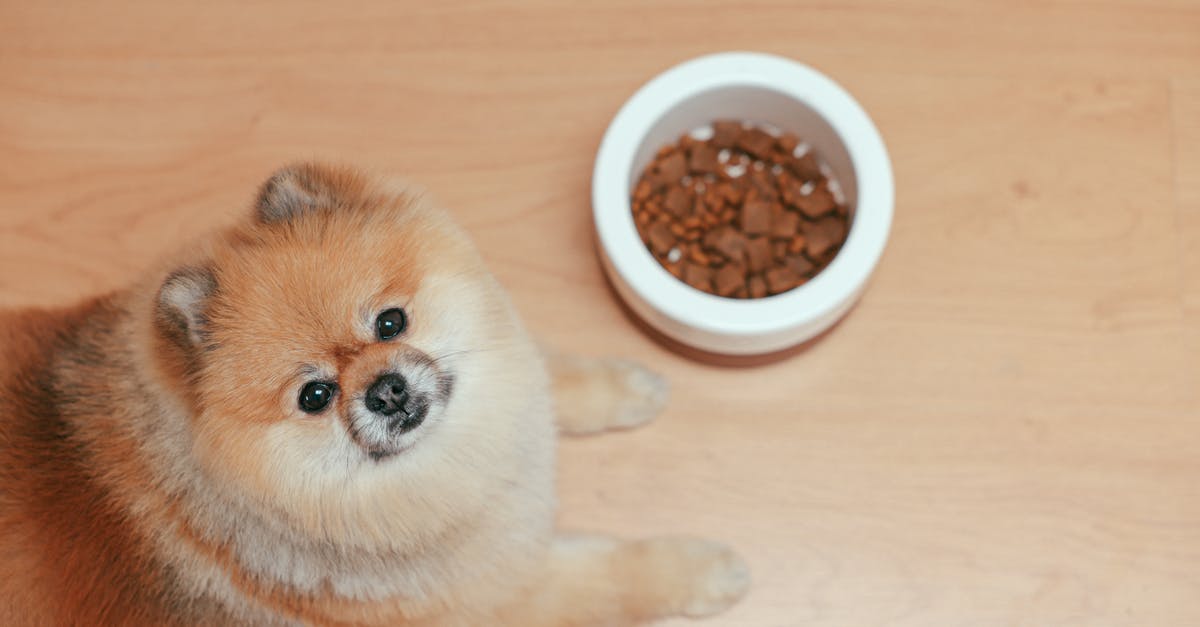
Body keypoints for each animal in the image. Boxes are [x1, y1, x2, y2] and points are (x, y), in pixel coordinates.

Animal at [0, 164, 748, 624]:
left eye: (390, 322)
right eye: (314, 395)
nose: (385, 391)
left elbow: (544, 372)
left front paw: (624, 384)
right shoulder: (504, 598)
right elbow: (613, 575)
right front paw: (706, 570)